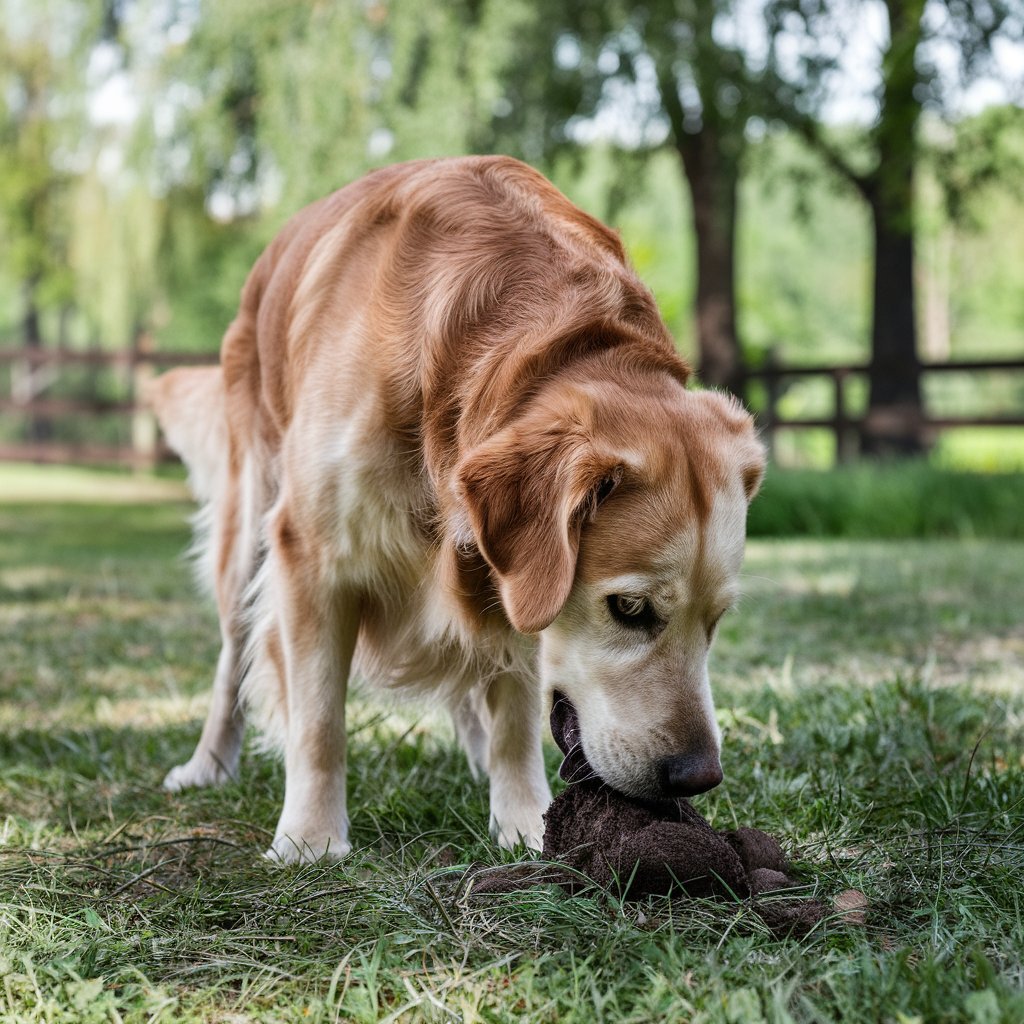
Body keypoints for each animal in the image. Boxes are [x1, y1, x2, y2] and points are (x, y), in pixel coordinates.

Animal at [148, 155, 765, 864]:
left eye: (716, 620)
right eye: (629, 608)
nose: (698, 777)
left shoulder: (518, 582)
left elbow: (515, 711)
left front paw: (525, 822)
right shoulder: (312, 555)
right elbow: (318, 721)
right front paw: (310, 839)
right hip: (249, 518)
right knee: (234, 657)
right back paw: (208, 764)